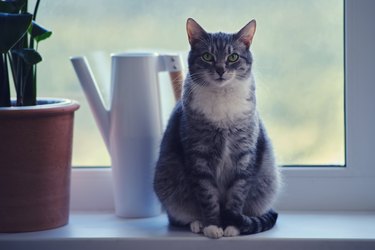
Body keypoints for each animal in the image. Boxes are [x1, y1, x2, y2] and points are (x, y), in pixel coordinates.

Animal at [154, 18, 280, 238]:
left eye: (233, 57)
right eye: (207, 56)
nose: (221, 70)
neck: (222, 98)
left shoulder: (244, 155)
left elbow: (237, 195)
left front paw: (232, 225)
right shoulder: (199, 157)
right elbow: (207, 196)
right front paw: (213, 226)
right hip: (168, 182)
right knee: (179, 216)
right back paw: (198, 223)